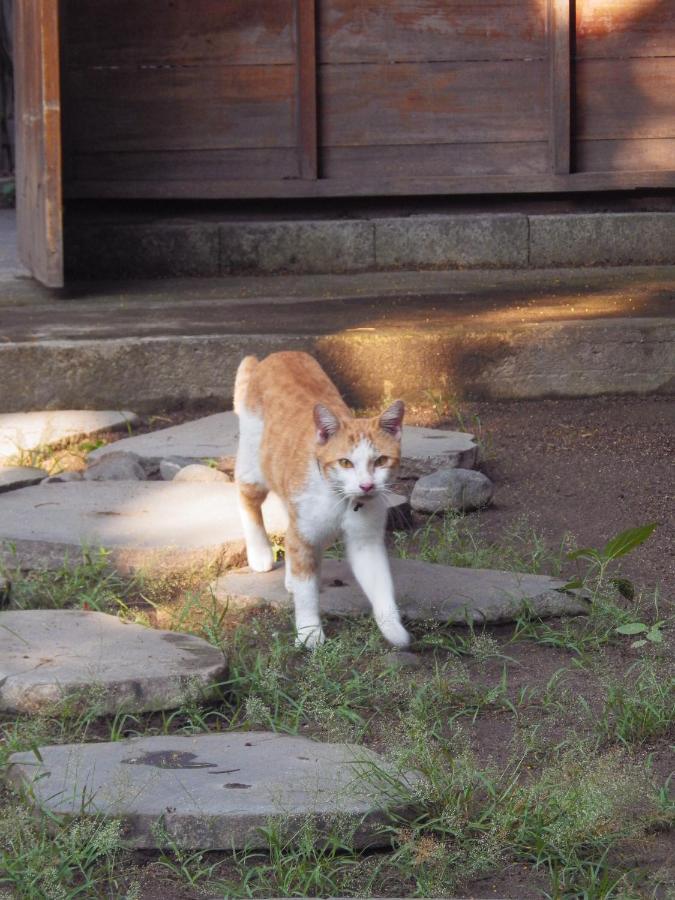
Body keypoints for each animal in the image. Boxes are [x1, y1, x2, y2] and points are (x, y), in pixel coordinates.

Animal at [232, 348, 412, 652]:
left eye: (380, 461)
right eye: (345, 463)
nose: (366, 485)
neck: (341, 500)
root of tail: (277, 354)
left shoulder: (365, 541)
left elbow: (381, 585)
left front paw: (393, 629)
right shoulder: (305, 530)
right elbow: (306, 593)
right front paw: (308, 632)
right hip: (253, 466)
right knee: (246, 498)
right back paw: (260, 552)